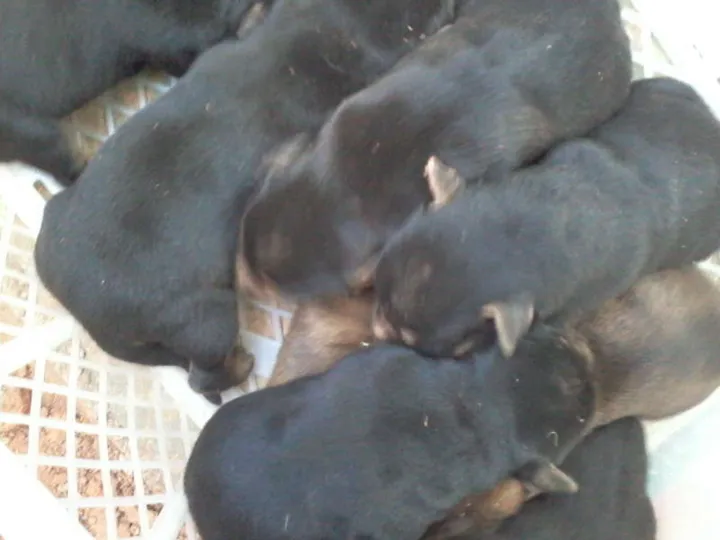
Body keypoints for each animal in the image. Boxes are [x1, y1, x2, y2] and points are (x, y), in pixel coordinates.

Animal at [33, 0, 458, 402]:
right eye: (424, 22)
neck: (305, 37)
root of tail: (81, 306)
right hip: (207, 321)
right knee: (203, 375)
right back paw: (240, 364)